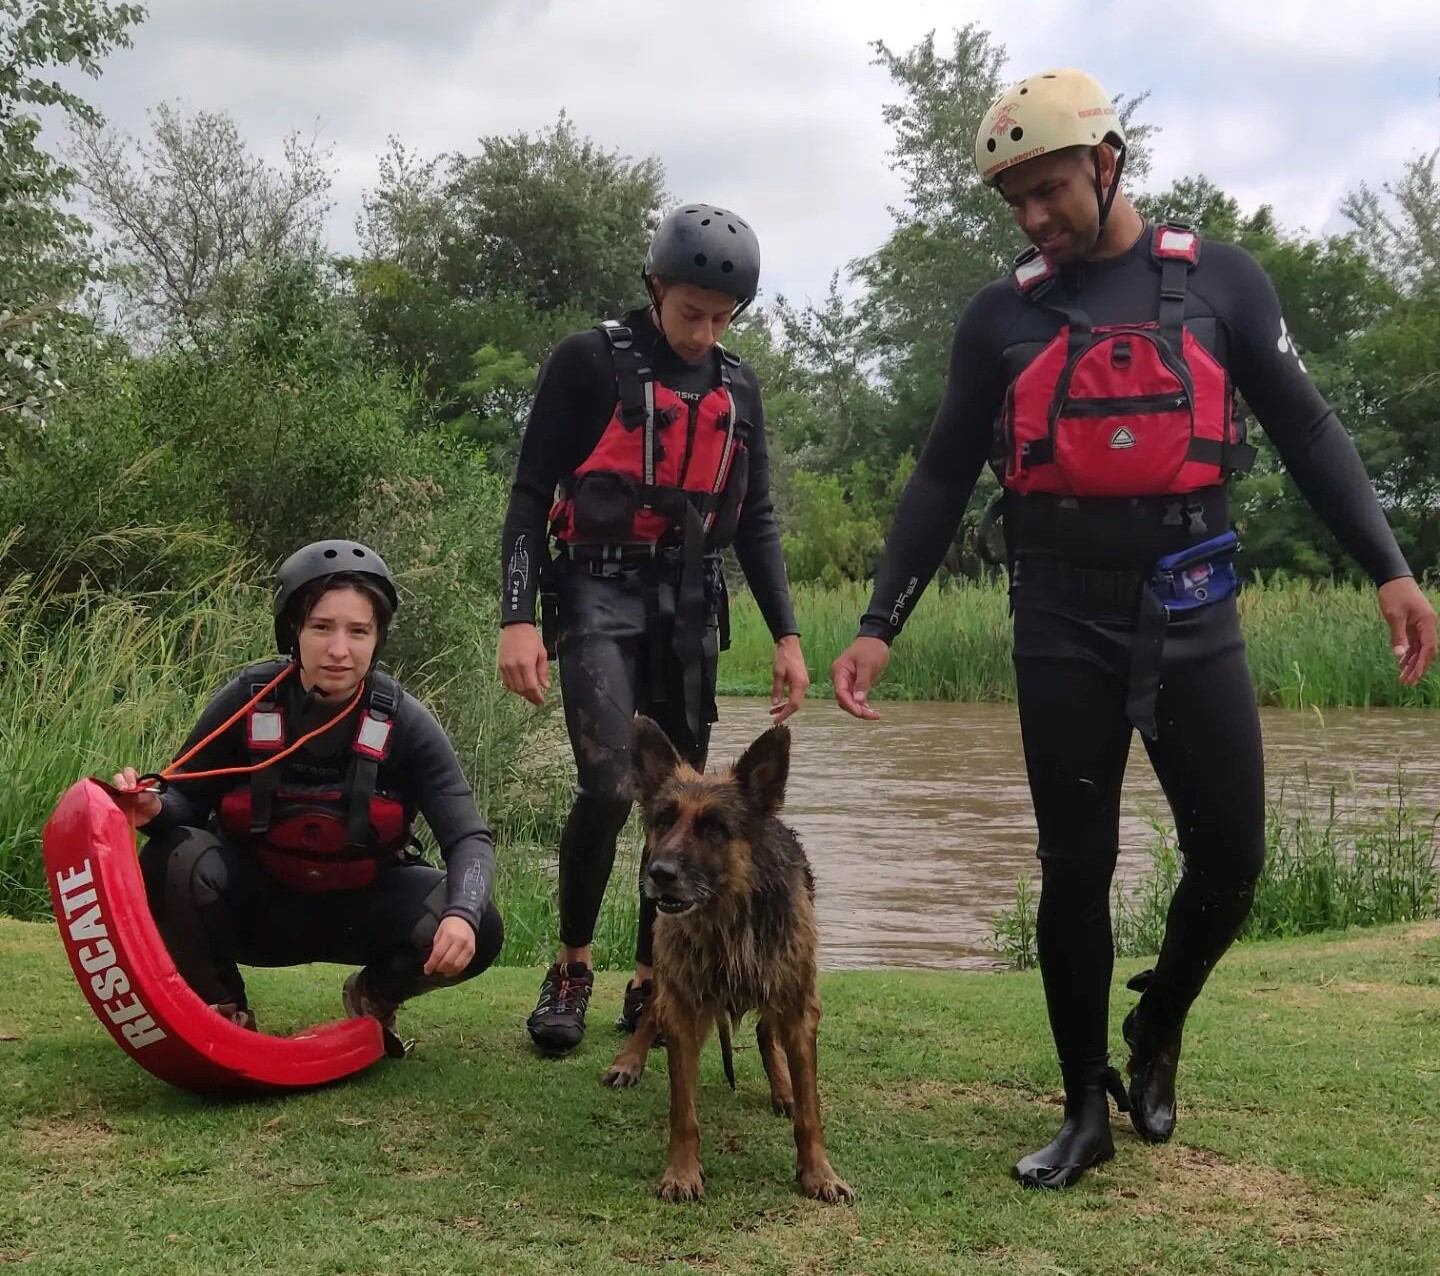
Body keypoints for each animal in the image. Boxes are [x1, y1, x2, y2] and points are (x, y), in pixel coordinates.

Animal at [599, 720, 846, 1209]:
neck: (728, 921)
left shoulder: (799, 1007)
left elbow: (810, 1110)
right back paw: (629, 1061)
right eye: (663, 819)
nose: (658, 873)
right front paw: (681, 1172)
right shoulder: (684, 1007)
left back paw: (782, 1088)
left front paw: (818, 1173)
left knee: (766, 1032)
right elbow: (683, 1110)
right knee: (651, 1007)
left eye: (714, 827)